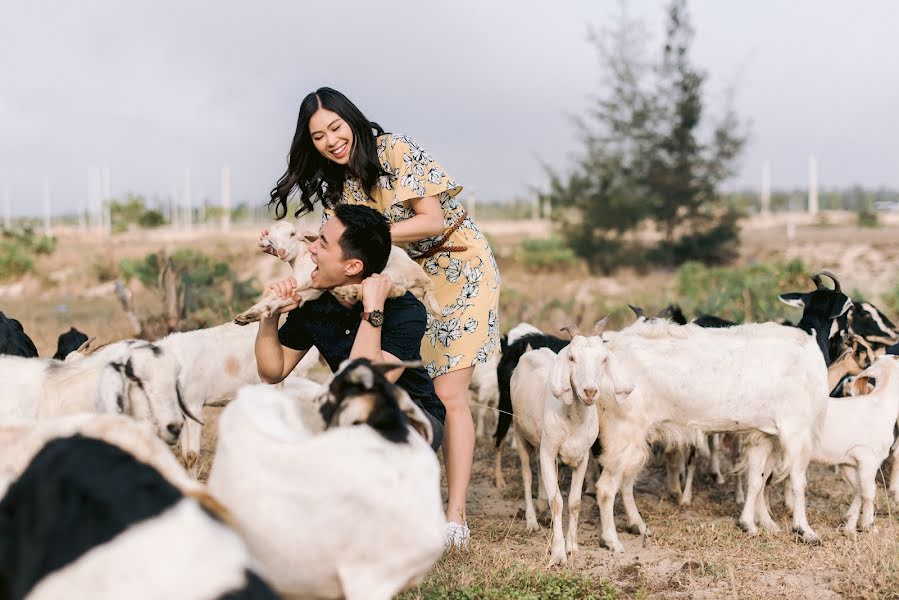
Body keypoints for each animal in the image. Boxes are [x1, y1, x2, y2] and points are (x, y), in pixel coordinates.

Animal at [236, 220, 440, 326]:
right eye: (270, 239)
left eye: (293, 234)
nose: (281, 252)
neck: (302, 258)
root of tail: (425, 279)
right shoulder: (311, 291)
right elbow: (283, 299)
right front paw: (250, 315)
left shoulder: (306, 279)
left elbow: (276, 295)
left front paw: (258, 311)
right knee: (397, 290)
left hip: (392, 271)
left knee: (384, 287)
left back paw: (348, 291)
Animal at [510, 324, 600, 564]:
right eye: (572, 358)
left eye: (603, 358)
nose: (590, 391)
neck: (574, 419)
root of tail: (530, 351)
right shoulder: (549, 452)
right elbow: (557, 501)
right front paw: (558, 553)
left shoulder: (582, 458)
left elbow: (575, 502)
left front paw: (573, 546)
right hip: (520, 432)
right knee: (527, 475)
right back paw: (532, 521)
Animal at [596, 322, 828, 552]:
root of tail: (611, 348)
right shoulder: (797, 431)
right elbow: (798, 481)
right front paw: (805, 530)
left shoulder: (764, 435)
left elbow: (757, 480)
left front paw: (754, 524)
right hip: (623, 433)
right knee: (606, 488)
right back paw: (612, 540)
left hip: (635, 439)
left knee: (626, 481)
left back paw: (638, 525)